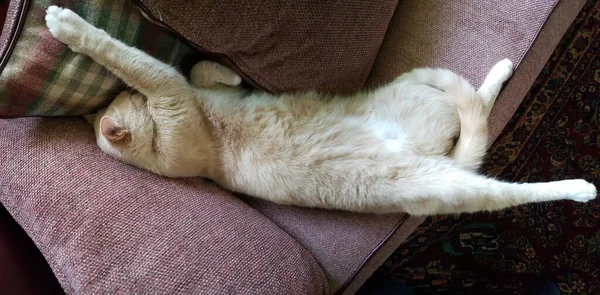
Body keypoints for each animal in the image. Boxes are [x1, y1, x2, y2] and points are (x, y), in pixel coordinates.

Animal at [43, 5, 596, 216]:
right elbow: (127, 56)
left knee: (476, 105)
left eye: (120, 99)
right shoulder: (167, 90)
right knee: (496, 167)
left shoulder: (184, 87)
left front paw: (232, 74)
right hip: (453, 185)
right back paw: (579, 187)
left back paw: (499, 71)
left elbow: (199, 66)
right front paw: (67, 26)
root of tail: (435, 156)